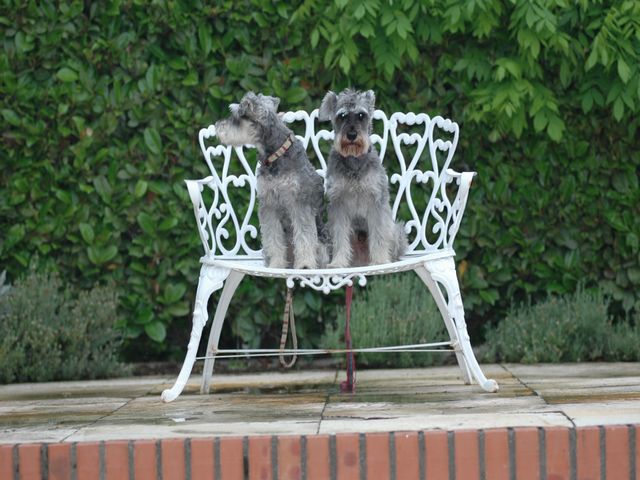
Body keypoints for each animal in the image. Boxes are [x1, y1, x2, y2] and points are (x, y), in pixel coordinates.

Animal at [215, 92, 327, 269]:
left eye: (236, 117)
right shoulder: (269, 204)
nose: (217, 126)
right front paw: (276, 264)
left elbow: (305, 236)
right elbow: (273, 238)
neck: (276, 154)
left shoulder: (300, 203)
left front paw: (305, 265)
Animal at [319, 88, 407, 268]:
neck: (353, 160)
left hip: (397, 230)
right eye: (342, 116)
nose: (352, 135)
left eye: (361, 115)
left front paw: (380, 260)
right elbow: (339, 237)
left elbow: (379, 234)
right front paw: (338, 262)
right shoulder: (338, 204)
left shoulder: (376, 202)